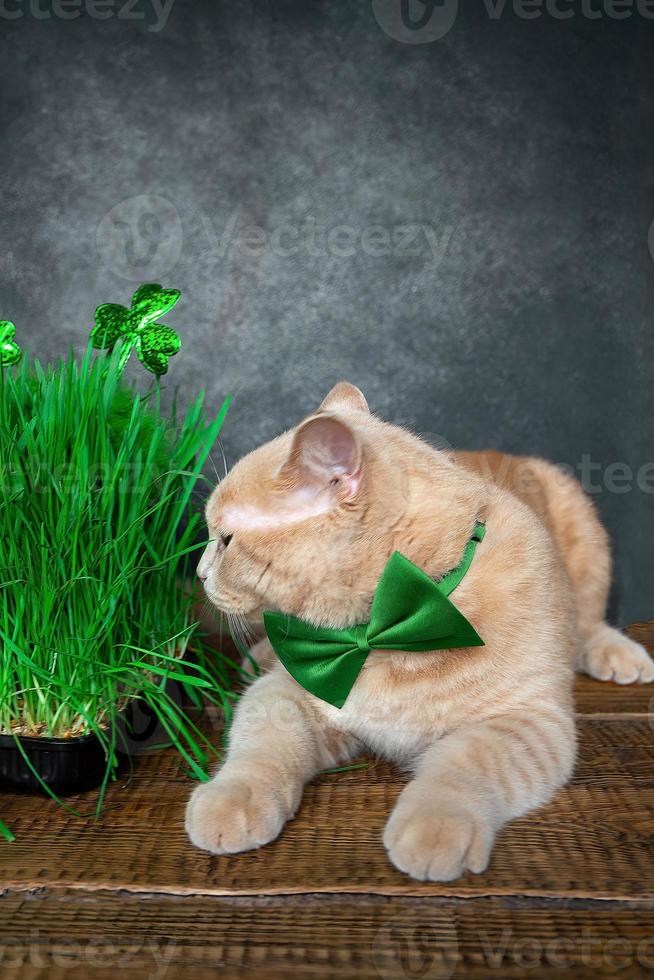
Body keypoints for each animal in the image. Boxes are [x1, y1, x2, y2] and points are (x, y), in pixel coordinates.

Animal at [186, 380, 654, 880]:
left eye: (227, 540)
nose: (199, 573)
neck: (391, 630)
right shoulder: (286, 694)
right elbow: (261, 744)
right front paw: (231, 797)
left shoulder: (528, 721)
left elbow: (465, 762)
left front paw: (436, 824)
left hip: (585, 536)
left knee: (588, 621)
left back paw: (615, 651)